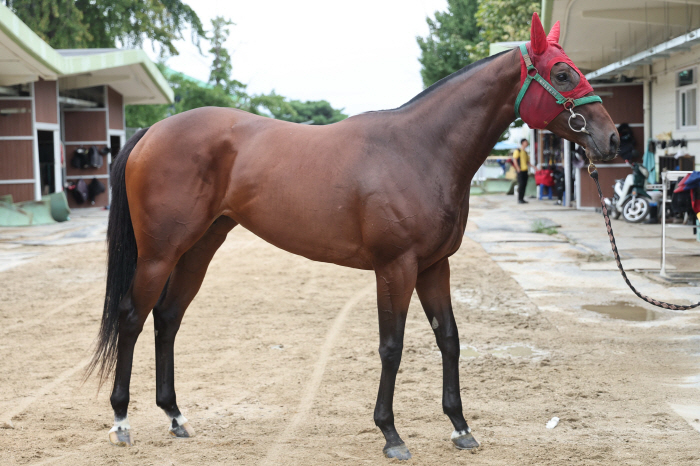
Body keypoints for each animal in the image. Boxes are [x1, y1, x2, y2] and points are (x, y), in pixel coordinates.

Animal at [87, 13, 616, 458]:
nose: (611, 139)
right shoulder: (396, 266)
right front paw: (391, 434)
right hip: (159, 253)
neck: (419, 149)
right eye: (563, 74)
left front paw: (460, 427)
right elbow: (392, 345)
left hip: (199, 248)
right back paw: (121, 421)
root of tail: (153, 130)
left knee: (168, 318)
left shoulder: (434, 265)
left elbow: (448, 338)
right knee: (132, 319)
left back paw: (175, 416)